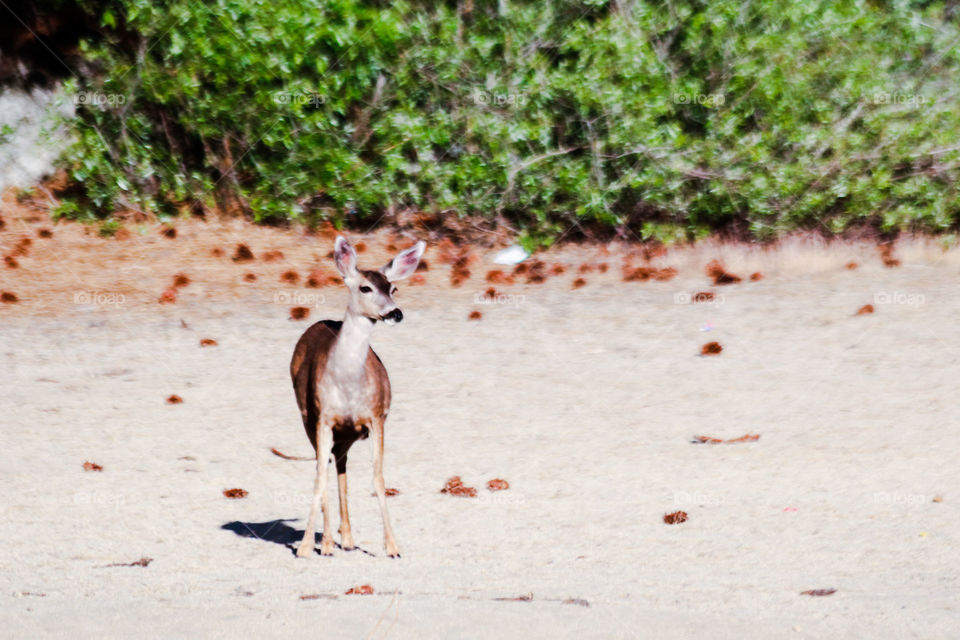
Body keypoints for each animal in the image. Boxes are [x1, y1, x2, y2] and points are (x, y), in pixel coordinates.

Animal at [290, 236, 425, 558]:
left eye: (393, 288)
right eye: (365, 288)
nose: (395, 313)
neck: (349, 384)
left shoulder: (376, 418)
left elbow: (378, 477)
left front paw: (393, 547)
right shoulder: (323, 418)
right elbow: (319, 477)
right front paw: (305, 547)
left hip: (348, 434)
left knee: (339, 465)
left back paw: (347, 539)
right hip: (308, 418)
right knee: (325, 466)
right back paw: (327, 543)